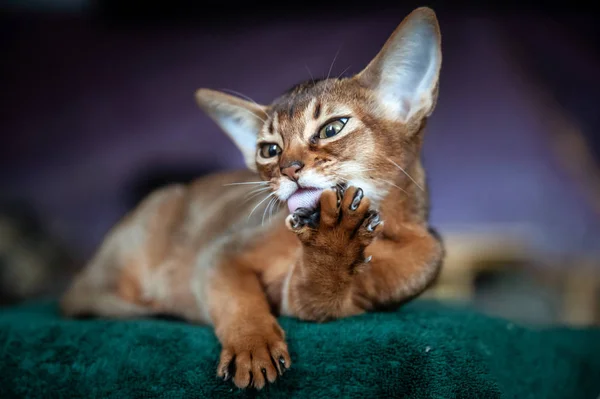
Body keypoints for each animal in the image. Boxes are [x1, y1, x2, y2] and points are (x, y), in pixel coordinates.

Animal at [59, 7, 446, 390]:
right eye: (269, 150)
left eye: (332, 128)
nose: (289, 169)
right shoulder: (222, 254)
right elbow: (239, 300)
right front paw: (252, 347)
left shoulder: (334, 295)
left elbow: (321, 291)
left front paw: (334, 241)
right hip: (154, 215)